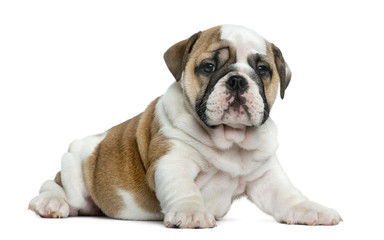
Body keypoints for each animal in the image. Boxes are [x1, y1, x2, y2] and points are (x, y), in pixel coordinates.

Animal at [29, 24, 342, 229]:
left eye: (262, 69)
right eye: (208, 67)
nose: (237, 80)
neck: (230, 139)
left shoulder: (266, 176)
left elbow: (287, 196)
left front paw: (310, 210)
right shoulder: (173, 161)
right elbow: (184, 189)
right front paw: (192, 213)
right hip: (74, 170)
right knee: (54, 186)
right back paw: (50, 204)